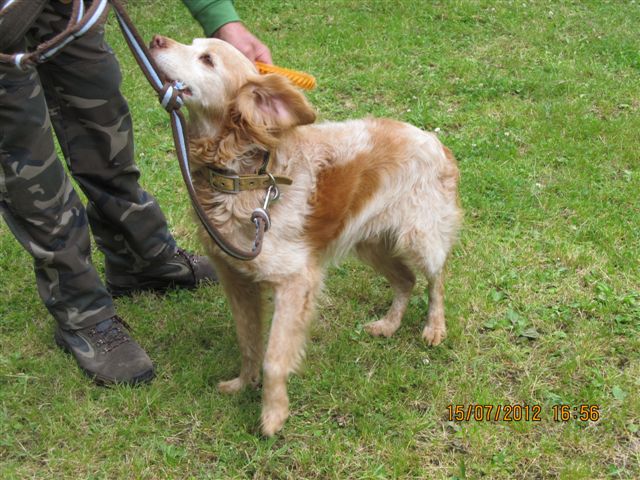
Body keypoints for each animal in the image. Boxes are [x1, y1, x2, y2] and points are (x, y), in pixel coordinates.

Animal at [149, 36, 460, 436]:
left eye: (206, 59)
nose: (156, 40)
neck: (243, 176)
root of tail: (434, 140)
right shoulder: (237, 280)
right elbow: (249, 343)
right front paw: (242, 384)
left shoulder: (295, 281)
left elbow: (273, 357)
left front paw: (272, 415)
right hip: (369, 243)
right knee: (406, 280)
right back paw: (388, 325)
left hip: (419, 237)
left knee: (435, 281)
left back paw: (435, 328)